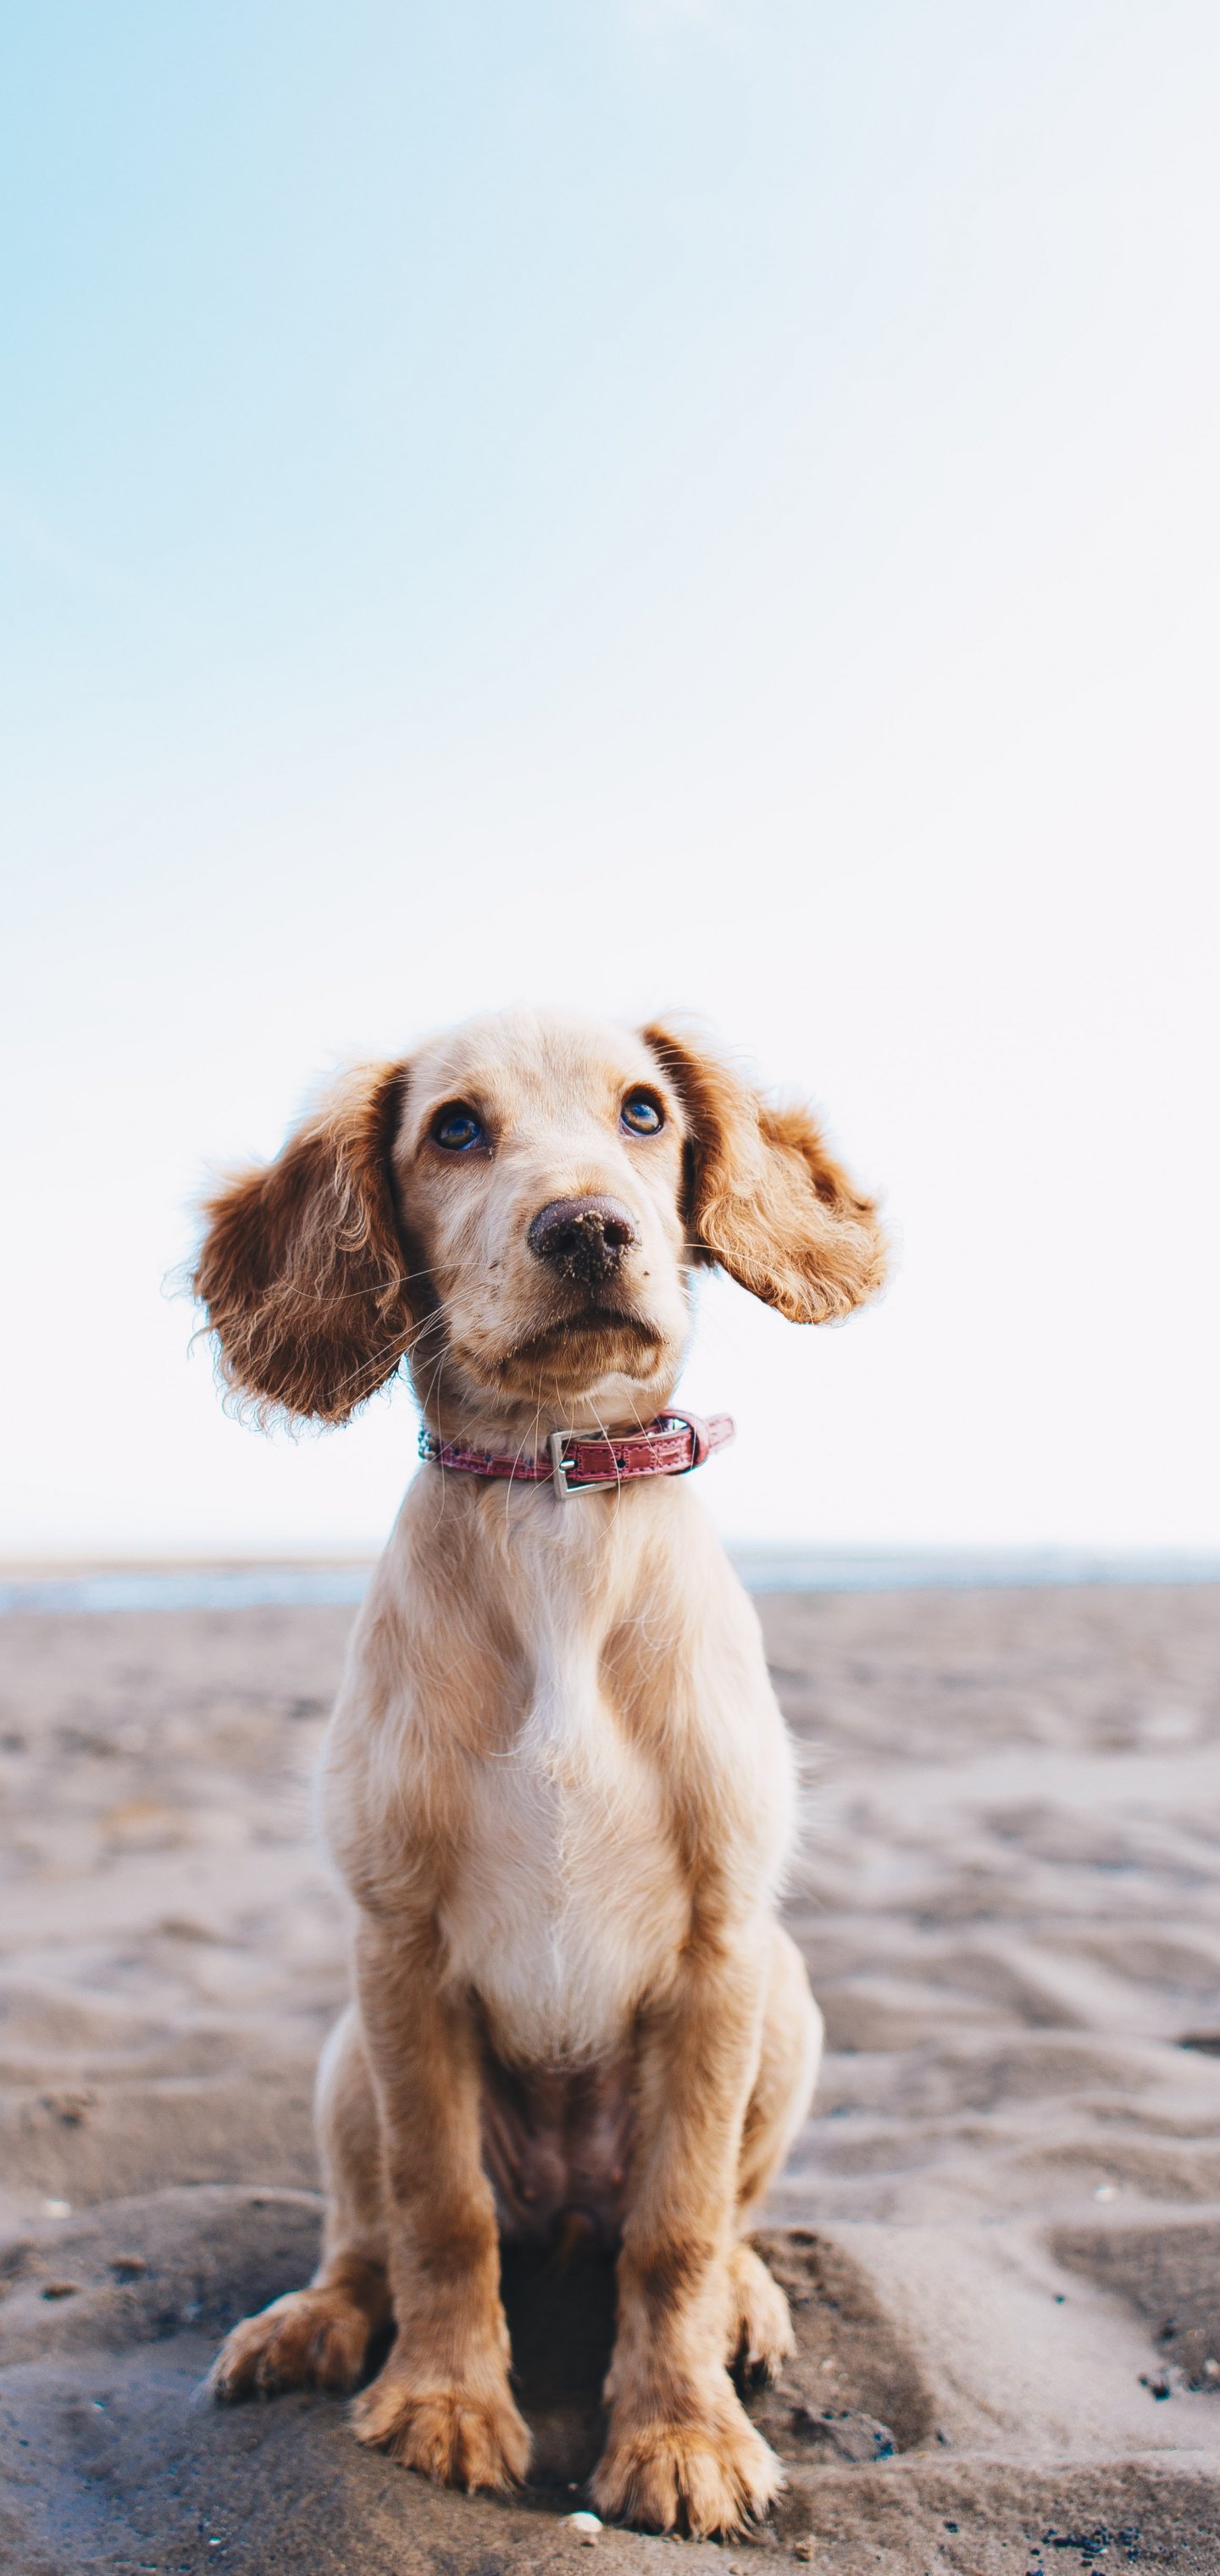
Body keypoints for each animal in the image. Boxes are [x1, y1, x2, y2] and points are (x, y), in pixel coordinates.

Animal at [193, 1008, 886, 2538]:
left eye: (644, 1112)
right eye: (454, 1129)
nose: (586, 1229)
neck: (555, 1500)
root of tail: (564, 2208)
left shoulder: (722, 1951)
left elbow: (677, 2231)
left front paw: (682, 2435)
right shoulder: (397, 1946)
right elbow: (439, 2208)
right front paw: (446, 2402)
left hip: (790, 2005)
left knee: (715, 2221)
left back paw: (746, 2303)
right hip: (346, 2055)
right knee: (368, 2230)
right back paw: (314, 2321)